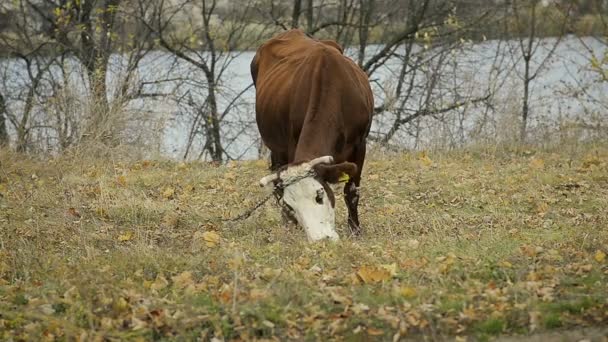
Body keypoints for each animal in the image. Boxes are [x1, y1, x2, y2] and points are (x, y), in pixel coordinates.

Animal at [249, 29, 372, 242]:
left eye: (319, 195)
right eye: (291, 205)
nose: (319, 240)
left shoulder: (360, 144)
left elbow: (352, 191)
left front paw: (355, 230)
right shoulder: (291, 143)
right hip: (277, 147)